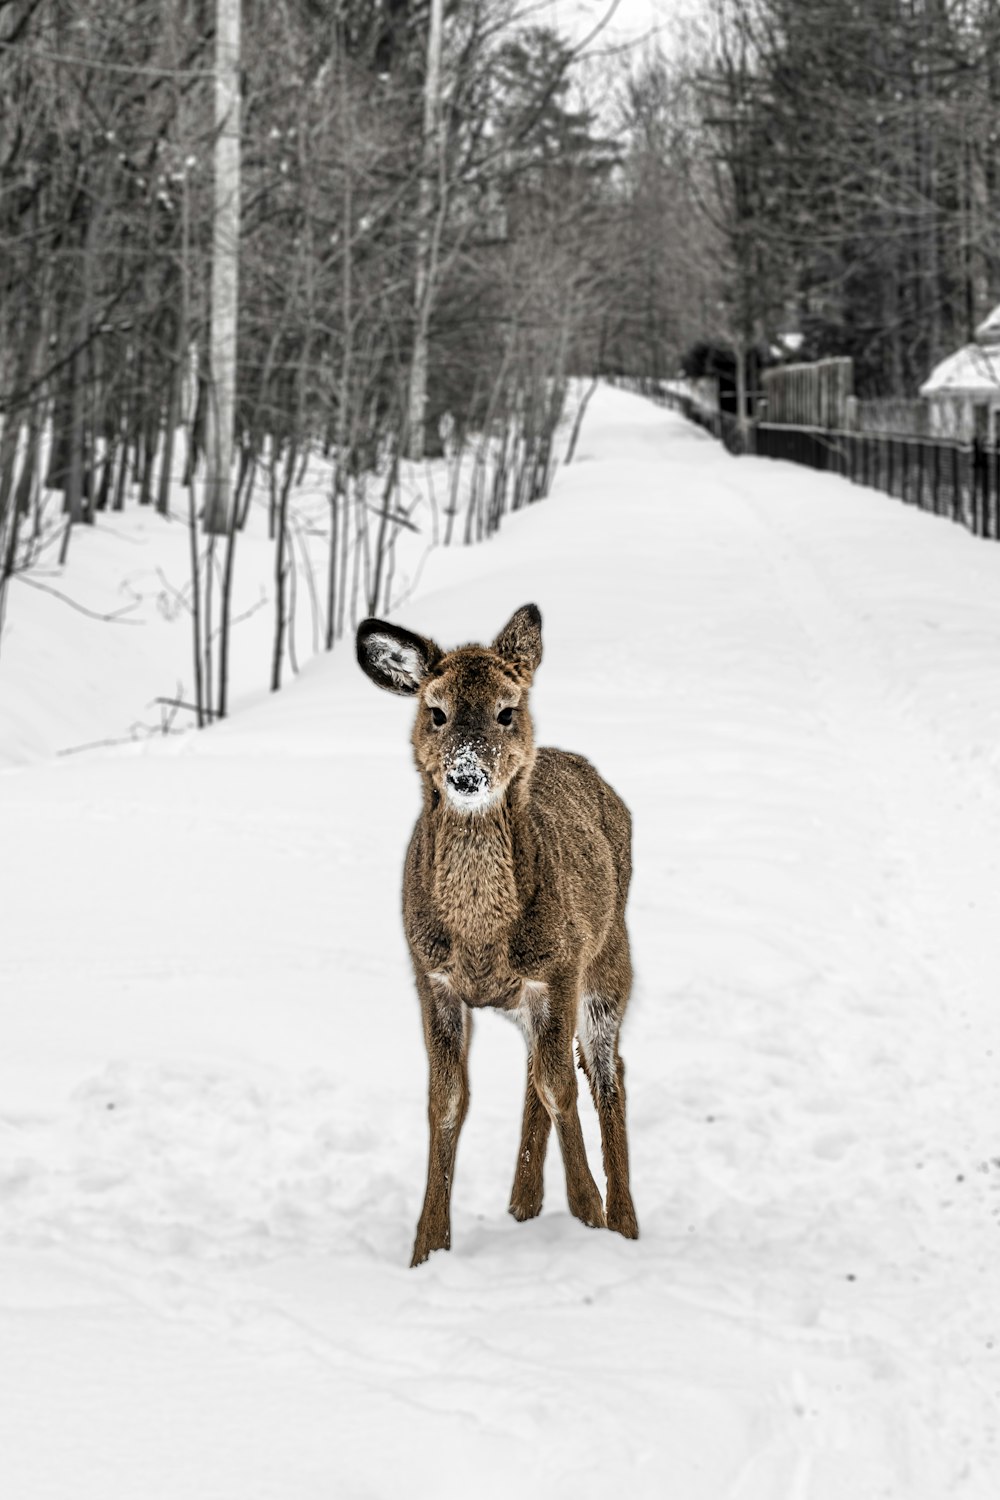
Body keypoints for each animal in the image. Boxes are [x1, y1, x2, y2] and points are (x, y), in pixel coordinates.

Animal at [358, 603, 641, 1260]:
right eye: (435, 711)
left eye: (506, 710)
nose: (466, 772)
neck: (481, 938)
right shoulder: (432, 977)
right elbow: (446, 1100)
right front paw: (427, 1244)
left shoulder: (560, 968)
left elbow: (561, 1086)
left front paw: (589, 1212)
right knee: (539, 1068)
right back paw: (523, 1200)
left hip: (609, 960)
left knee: (605, 1075)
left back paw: (624, 1220)